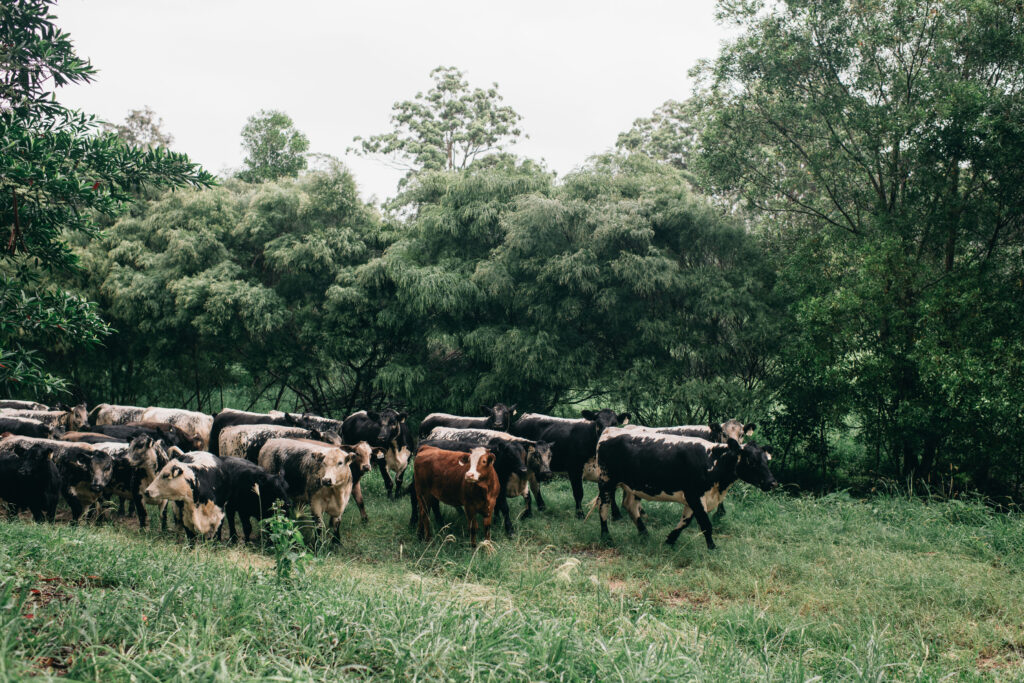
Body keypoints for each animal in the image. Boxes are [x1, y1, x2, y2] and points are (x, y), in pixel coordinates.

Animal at [593, 428, 774, 548]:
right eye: (751, 461)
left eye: (767, 460)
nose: (772, 482)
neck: (711, 460)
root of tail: (610, 431)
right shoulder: (695, 495)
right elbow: (706, 524)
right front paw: (713, 548)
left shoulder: (694, 499)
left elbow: (685, 522)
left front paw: (670, 540)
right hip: (606, 480)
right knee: (603, 507)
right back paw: (606, 537)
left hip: (631, 486)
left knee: (630, 506)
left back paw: (644, 534)